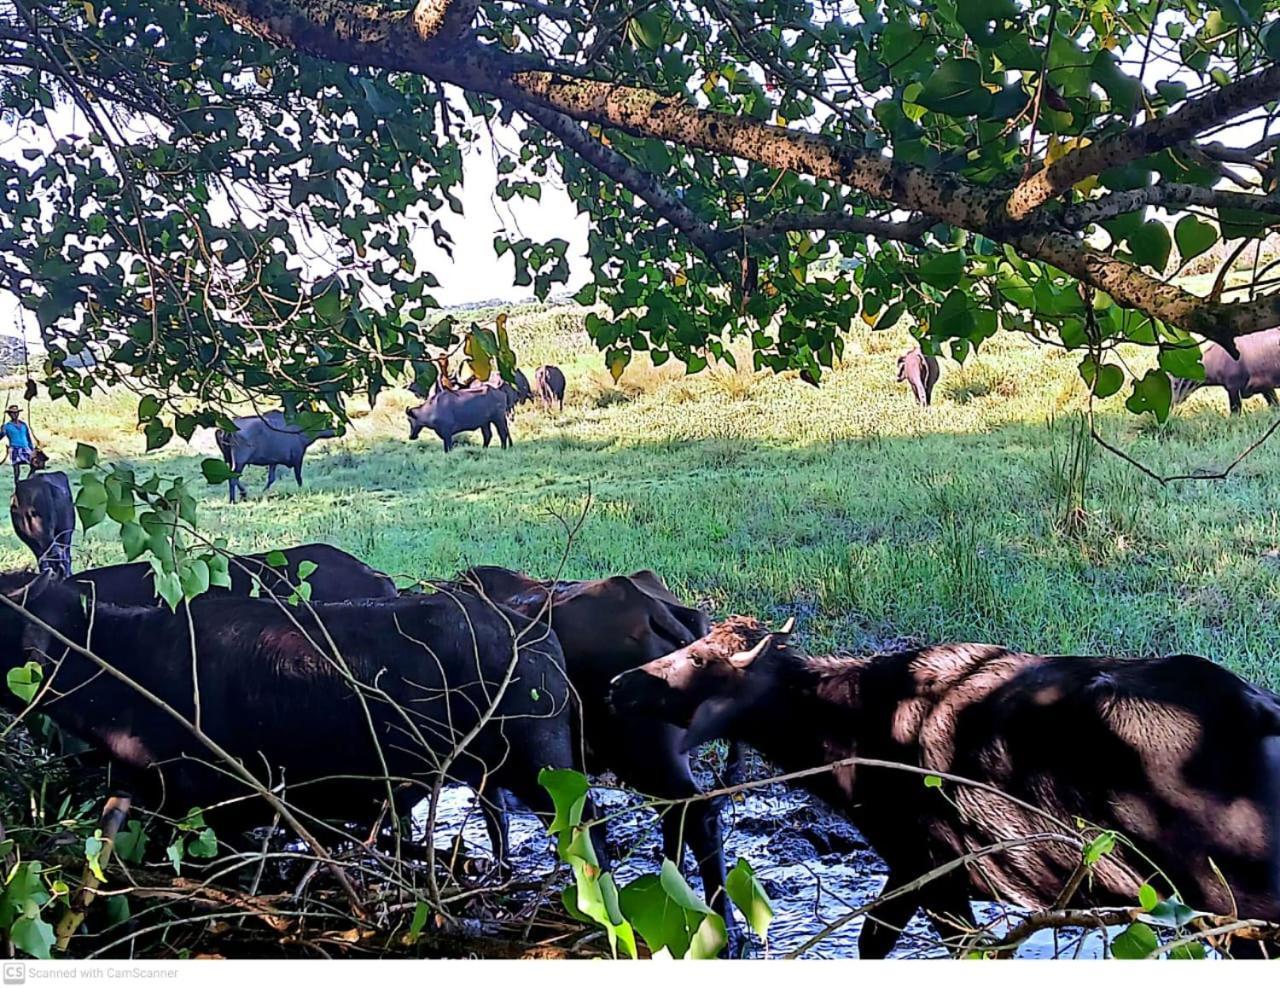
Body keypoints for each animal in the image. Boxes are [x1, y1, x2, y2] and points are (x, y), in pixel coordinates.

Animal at [0, 568, 599, 870]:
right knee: (498, 821)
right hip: (486, 771)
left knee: (584, 823)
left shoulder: (221, 808)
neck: (130, 664)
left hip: (542, 760)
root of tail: (533, 631)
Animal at [606, 616, 1280, 957]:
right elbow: (875, 941)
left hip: (1230, 907)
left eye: (698, 659)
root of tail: (1259, 711)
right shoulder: (913, 870)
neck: (856, 719)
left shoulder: (933, 868)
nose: (618, 684)